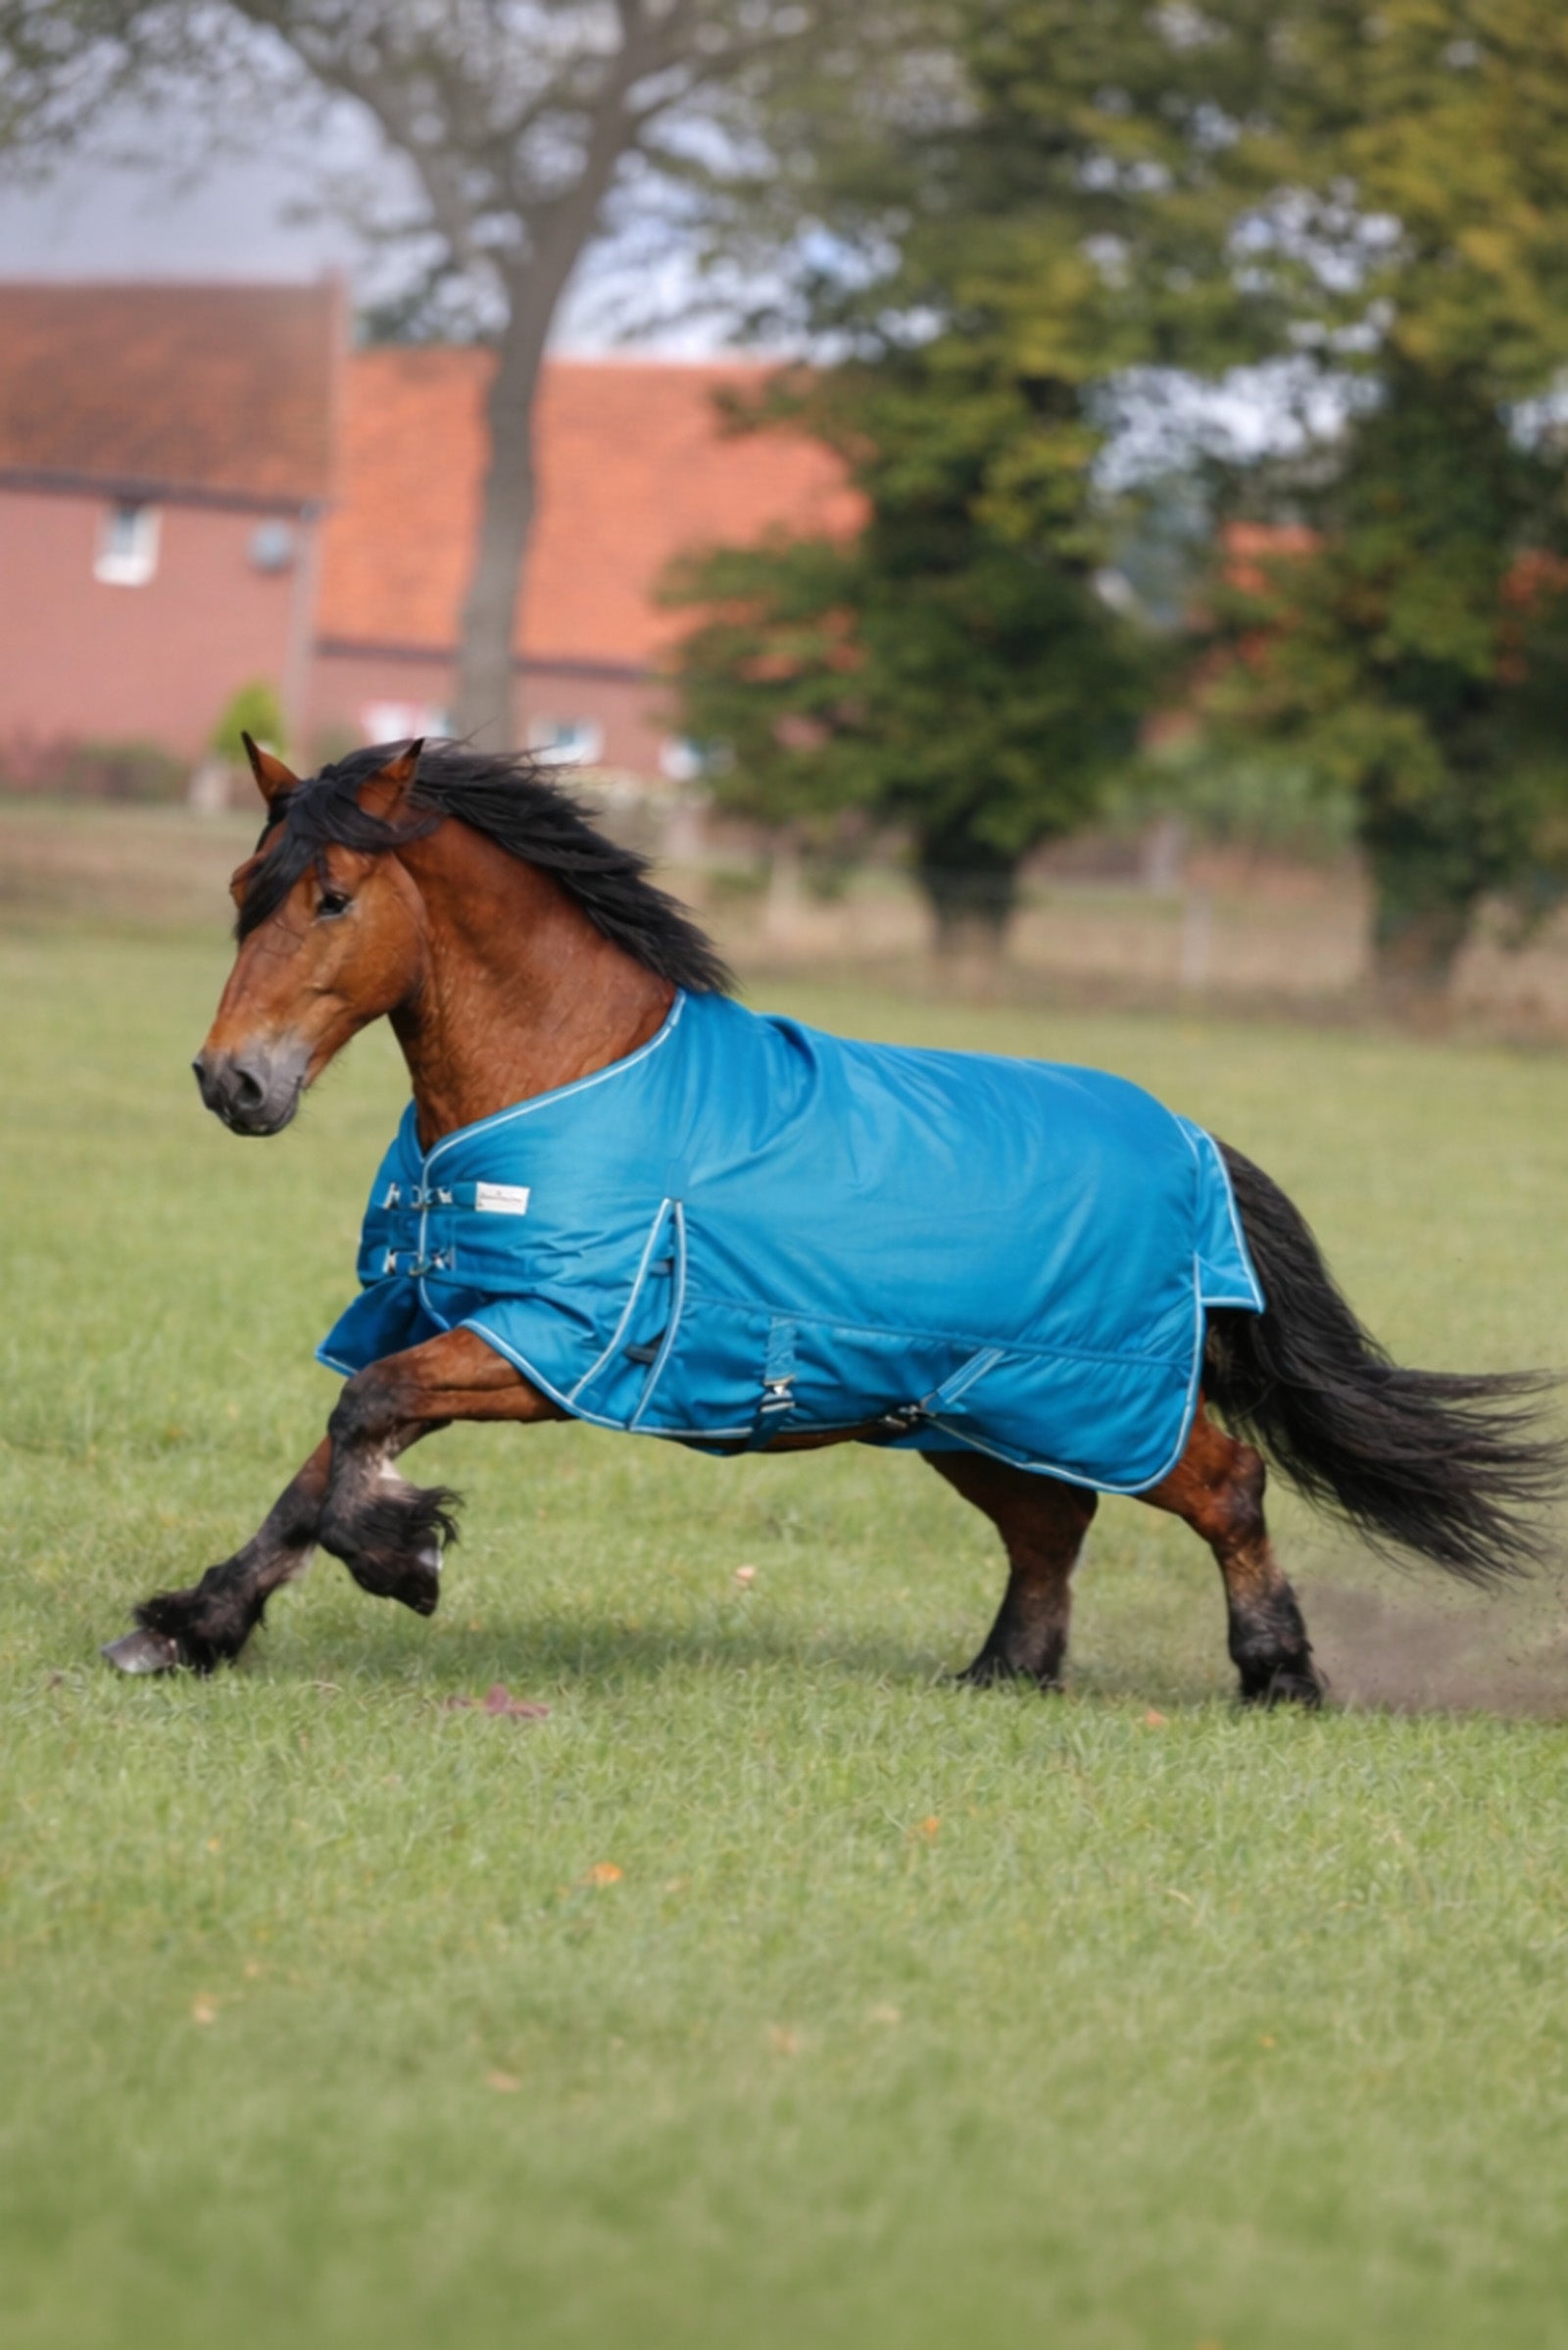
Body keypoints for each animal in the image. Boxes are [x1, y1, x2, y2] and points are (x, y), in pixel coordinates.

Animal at [102, 737, 1563, 1700]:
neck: (568, 1073)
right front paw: (187, 1626)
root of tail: (1193, 1142)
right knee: (1051, 1528)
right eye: (241, 892)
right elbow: (324, 1458)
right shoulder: (450, 1315)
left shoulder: (553, 1341)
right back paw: (1003, 1673)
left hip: (1092, 1400)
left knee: (1225, 1485)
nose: (232, 1082)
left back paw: (1278, 1676)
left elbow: (359, 1424)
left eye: (332, 897)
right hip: (962, 1409)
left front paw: (404, 1558)